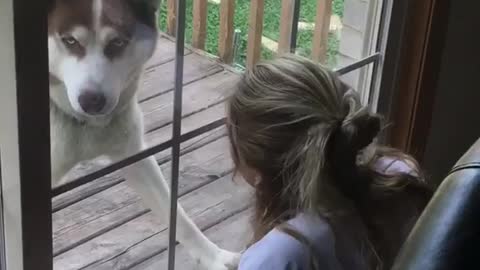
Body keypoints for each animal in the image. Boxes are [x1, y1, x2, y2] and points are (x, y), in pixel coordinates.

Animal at [48, 1, 240, 268]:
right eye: (70, 41)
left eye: (117, 42)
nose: (92, 101)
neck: (85, 126)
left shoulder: (134, 154)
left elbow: (177, 215)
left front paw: (213, 256)